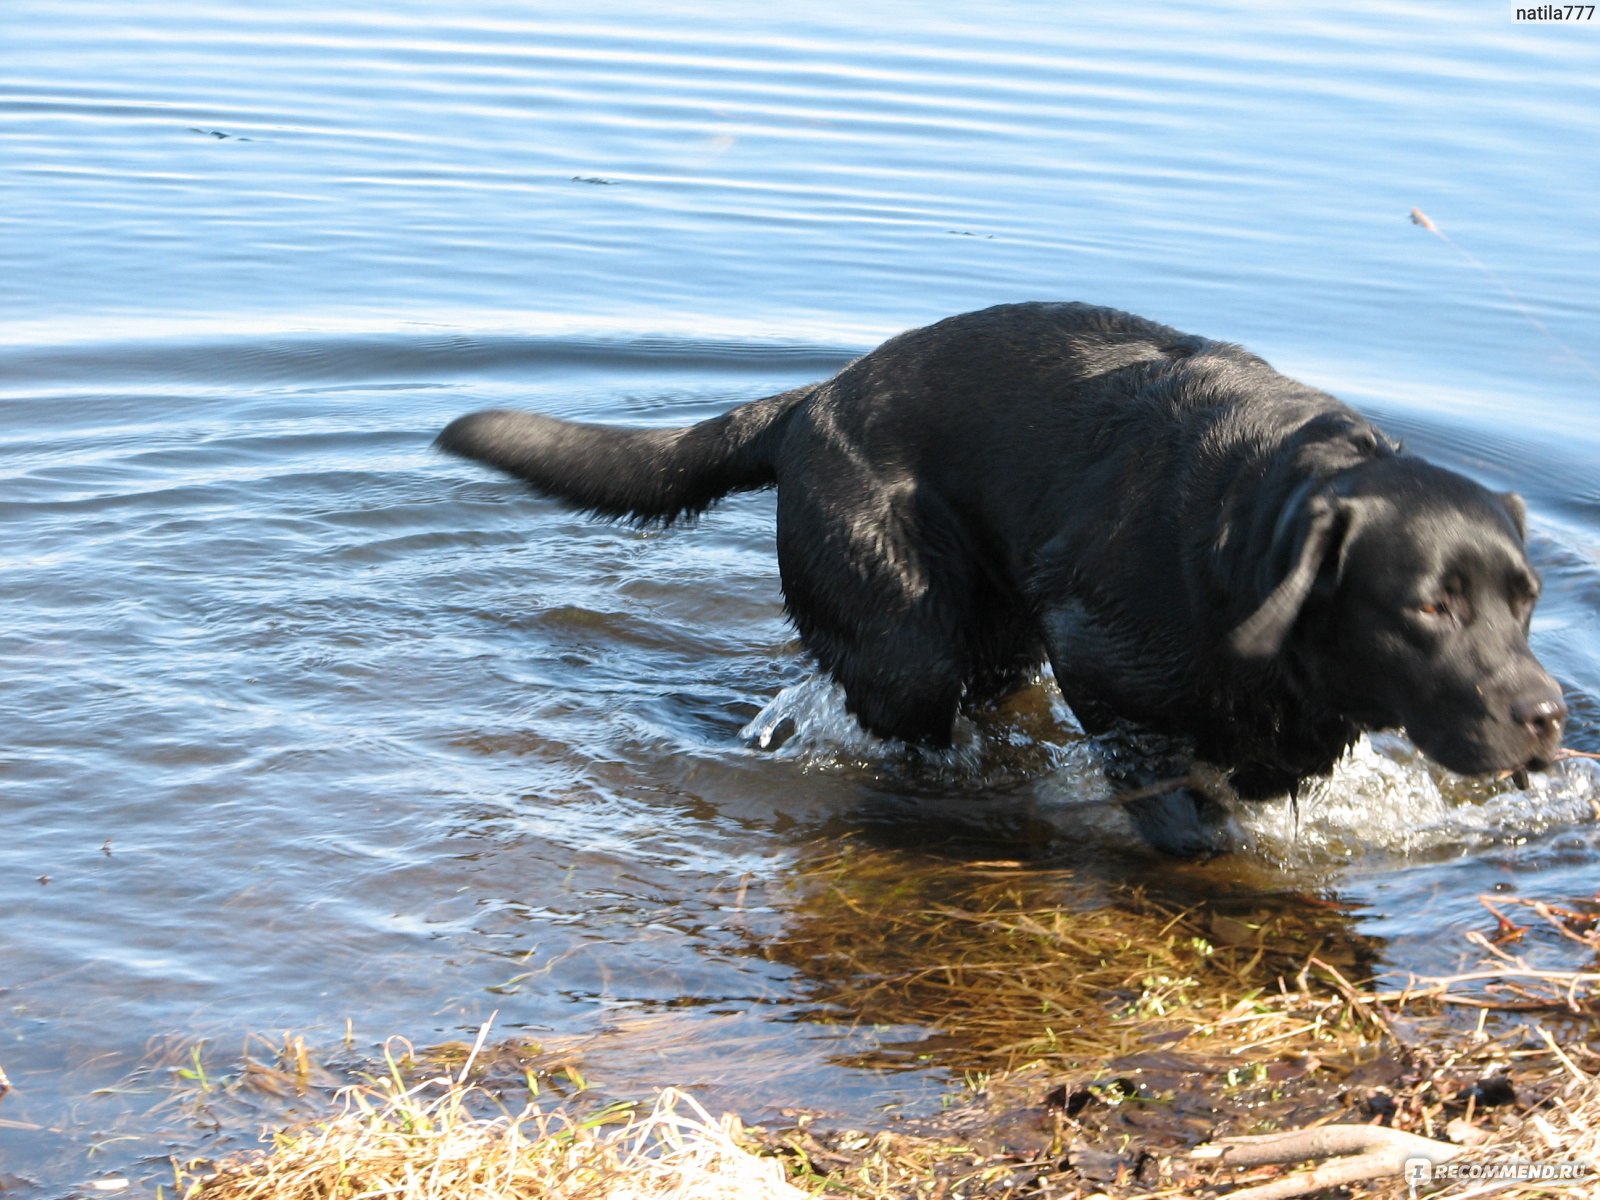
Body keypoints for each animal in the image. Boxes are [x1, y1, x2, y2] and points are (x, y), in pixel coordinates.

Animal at [435, 307, 1561, 819]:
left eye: (1527, 602)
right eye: (1429, 607)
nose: (1548, 715)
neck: (1250, 538)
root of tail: (809, 402)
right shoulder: (1096, 653)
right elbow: (1164, 789)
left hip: (993, 639)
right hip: (912, 643)